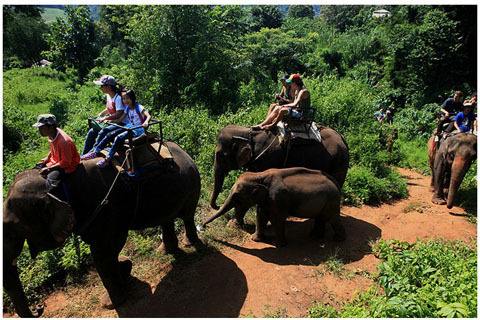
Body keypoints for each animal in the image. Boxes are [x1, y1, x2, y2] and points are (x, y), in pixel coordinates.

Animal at [3, 142, 201, 318]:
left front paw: (113, 301)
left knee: (187, 215)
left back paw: (191, 243)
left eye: (13, 231)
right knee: (166, 218)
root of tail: (183, 151)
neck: (57, 182)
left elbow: (102, 252)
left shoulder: (106, 207)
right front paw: (125, 269)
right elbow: (106, 249)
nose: (39, 308)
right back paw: (165, 251)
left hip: (192, 183)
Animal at [202, 166, 344, 246]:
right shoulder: (266, 198)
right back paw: (315, 236)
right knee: (321, 218)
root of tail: (335, 183)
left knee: (333, 218)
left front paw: (278, 244)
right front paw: (255, 239)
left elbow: (279, 217)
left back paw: (338, 239)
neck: (259, 175)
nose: (202, 226)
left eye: (237, 195)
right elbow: (261, 214)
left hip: (331, 200)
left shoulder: (278, 197)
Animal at [210, 125, 348, 212]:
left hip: (338, 161)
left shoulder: (267, 158)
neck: (247, 132)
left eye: (221, 155)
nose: (217, 206)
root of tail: (343, 139)